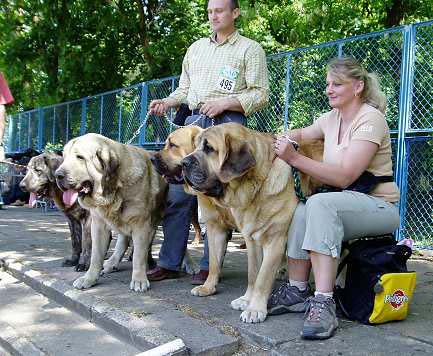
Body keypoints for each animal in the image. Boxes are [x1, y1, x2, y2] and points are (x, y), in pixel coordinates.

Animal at [55, 134, 167, 292]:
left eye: (80, 157)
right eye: (64, 157)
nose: (57, 175)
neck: (114, 188)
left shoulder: (141, 224)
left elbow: (139, 255)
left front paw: (139, 279)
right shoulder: (98, 225)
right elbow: (96, 255)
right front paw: (89, 279)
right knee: (123, 241)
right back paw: (111, 263)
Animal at [180, 122, 324, 322]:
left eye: (209, 148)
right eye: (195, 147)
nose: (183, 163)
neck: (255, 184)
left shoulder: (274, 240)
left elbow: (263, 277)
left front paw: (255, 309)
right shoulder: (251, 239)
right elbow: (251, 273)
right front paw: (243, 299)